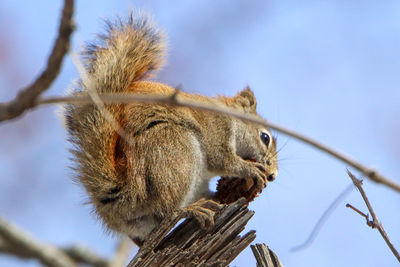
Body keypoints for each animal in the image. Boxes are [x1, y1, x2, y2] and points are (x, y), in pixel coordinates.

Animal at [65, 12, 278, 247]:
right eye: (265, 137)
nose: (272, 175)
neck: (228, 116)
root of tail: (125, 197)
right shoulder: (216, 129)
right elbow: (222, 159)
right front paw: (249, 169)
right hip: (176, 152)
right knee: (167, 210)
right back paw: (191, 209)